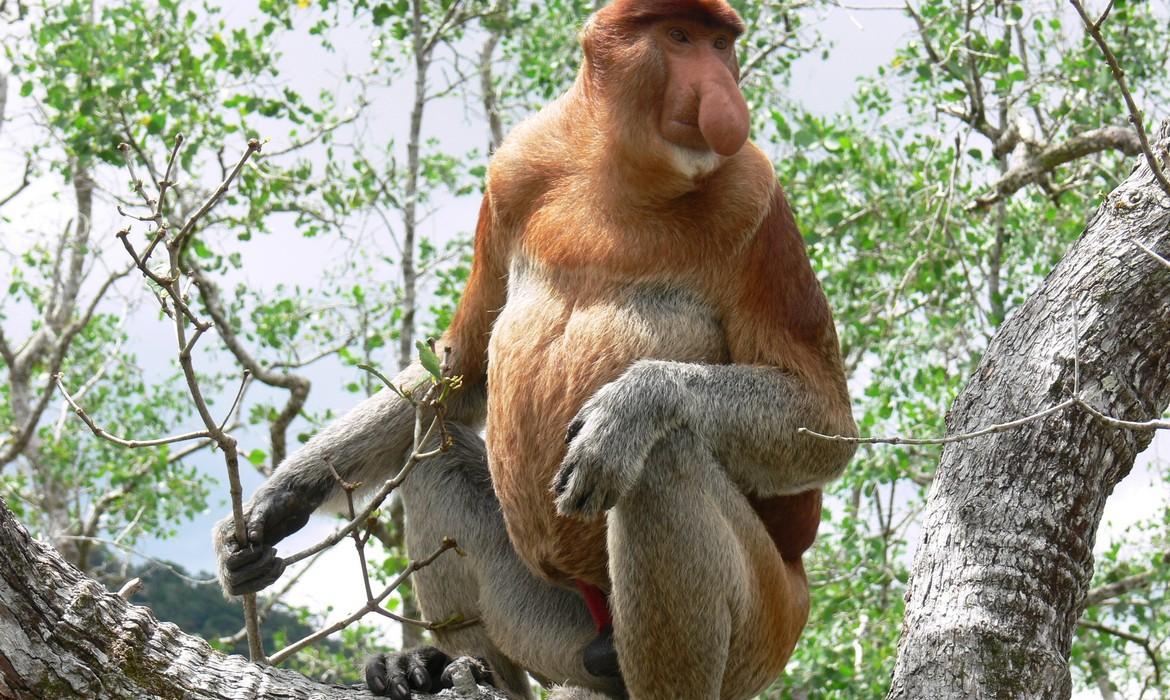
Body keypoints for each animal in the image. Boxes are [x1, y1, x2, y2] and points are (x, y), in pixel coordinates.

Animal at [213, 0, 856, 698]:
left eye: (720, 45)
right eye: (680, 37)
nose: (721, 94)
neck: (619, 172)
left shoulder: (756, 200)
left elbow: (824, 421)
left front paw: (630, 408)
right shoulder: (513, 173)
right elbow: (461, 372)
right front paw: (275, 504)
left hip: (767, 625)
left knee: (660, 461)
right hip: (559, 624)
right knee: (435, 456)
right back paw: (442, 670)